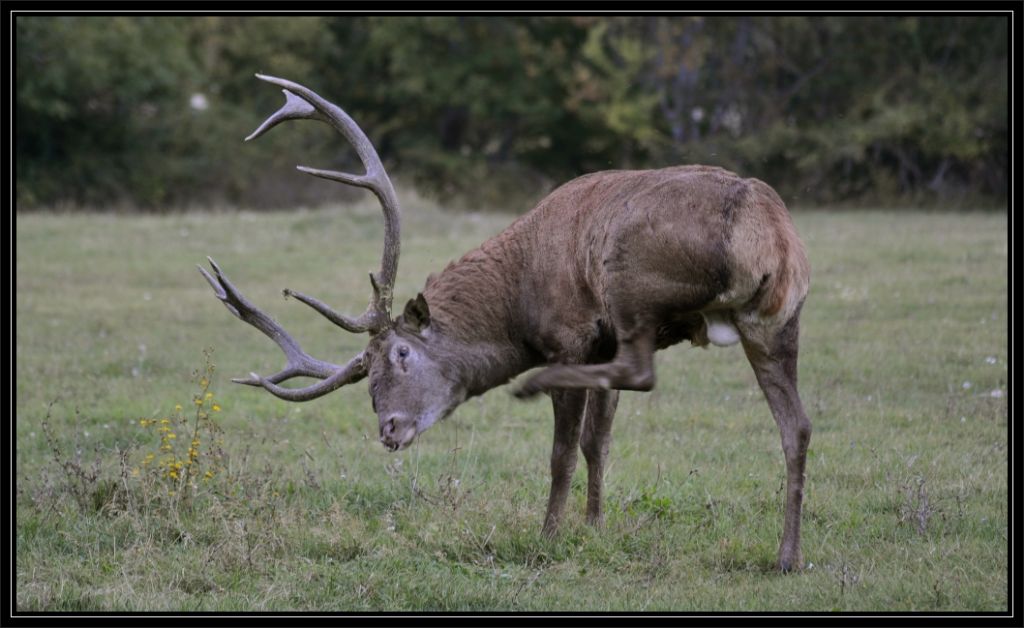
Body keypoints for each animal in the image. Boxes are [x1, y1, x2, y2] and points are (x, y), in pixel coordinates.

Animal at [195, 75, 811, 569]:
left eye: (401, 353)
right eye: (366, 374)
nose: (389, 428)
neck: (520, 296)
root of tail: (768, 234)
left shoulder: (573, 336)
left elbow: (564, 452)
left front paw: (550, 535)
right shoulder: (601, 347)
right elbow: (598, 442)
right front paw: (594, 527)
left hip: (633, 287)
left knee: (647, 375)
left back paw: (531, 385)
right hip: (775, 321)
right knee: (796, 426)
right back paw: (786, 556)